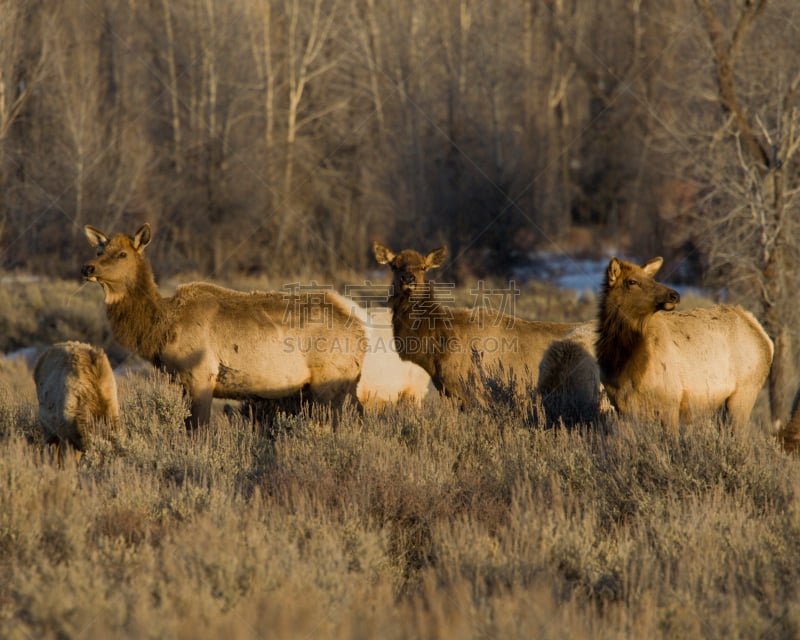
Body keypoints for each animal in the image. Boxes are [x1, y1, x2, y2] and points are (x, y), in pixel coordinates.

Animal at [81, 222, 368, 428]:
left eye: (122, 254)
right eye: (99, 251)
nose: (88, 267)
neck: (160, 329)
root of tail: (361, 326)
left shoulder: (200, 373)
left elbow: (199, 430)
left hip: (329, 380)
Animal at [592, 255, 776, 430]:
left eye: (651, 278)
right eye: (632, 281)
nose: (674, 295)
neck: (624, 365)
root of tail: (764, 336)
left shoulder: (670, 400)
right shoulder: (622, 407)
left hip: (745, 391)